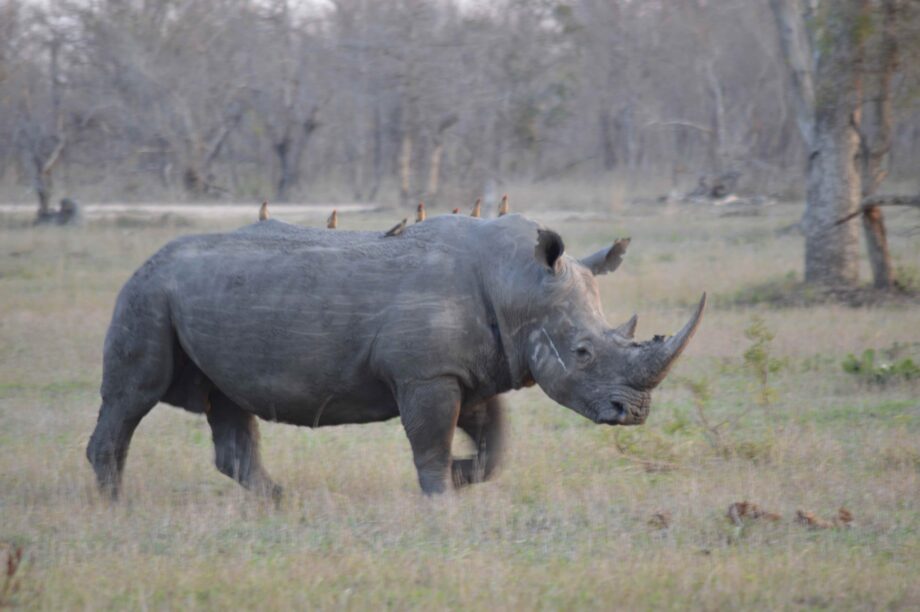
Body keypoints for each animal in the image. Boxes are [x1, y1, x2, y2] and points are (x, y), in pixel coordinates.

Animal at [87, 213, 705, 500]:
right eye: (582, 352)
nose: (635, 413)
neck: (519, 285)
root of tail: (143, 263)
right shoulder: (427, 375)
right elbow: (430, 441)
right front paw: (442, 499)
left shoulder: (471, 369)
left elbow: (494, 446)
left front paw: (461, 475)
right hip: (146, 294)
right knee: (133, 396)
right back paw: (118, 509)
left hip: (186, 297)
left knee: (228, 403)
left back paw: (282, 503)